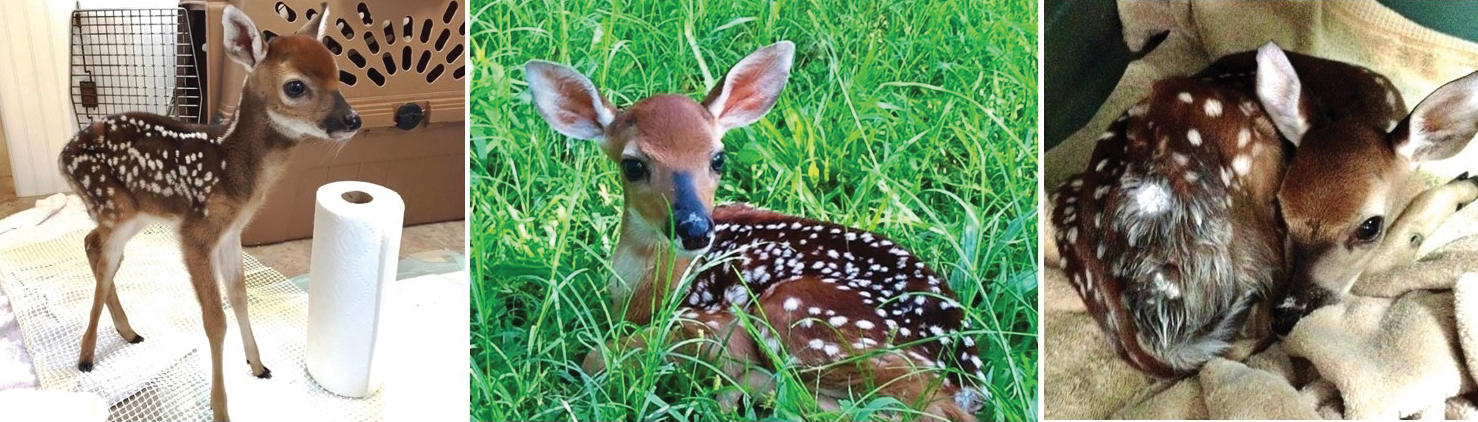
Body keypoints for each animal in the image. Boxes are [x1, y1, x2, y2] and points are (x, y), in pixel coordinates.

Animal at [56, 4, 359, 420]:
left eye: (338, 73)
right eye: (295, 86)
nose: (353, 120)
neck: (232, 166)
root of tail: (63, 156)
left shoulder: (232, 232)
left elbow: (240, 296)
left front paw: (258, 365)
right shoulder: (196, 232)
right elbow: (215, 320)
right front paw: (221, 410)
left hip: (133, 213)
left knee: (92, 244)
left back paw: (127, 331)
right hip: (114, 208)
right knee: (103, 259)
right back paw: (87, 356)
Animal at [524, 42, 987, 421]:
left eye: (717, 158)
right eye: (633, 165)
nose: (696, 230)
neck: (646, 290)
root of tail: (965, 377)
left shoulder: (709, 319)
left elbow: (596, 359)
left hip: (798, 310)